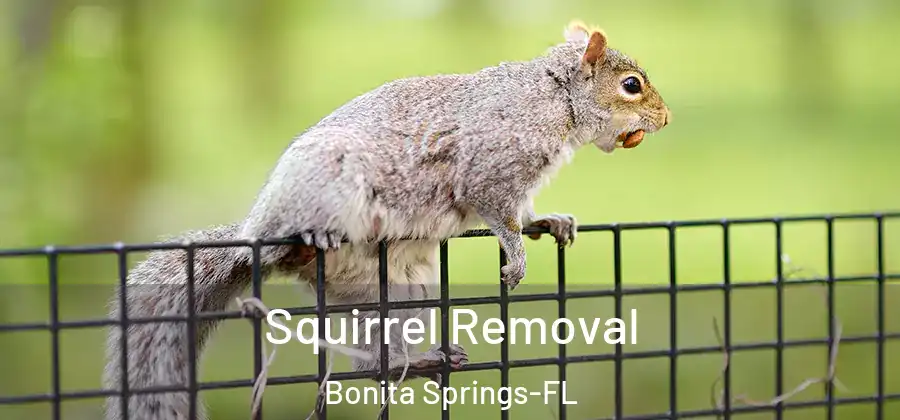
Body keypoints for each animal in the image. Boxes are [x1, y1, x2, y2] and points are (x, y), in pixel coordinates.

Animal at [102, 20, 670, 420]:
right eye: (631, 85)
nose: (665, 120)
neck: (554, 98)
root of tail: (252, 236)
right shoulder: (489, 168)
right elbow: (497, 214)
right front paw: (516, 256)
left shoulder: (519, 184)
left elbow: (524, 212)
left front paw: (549, 222)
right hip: (325, 187)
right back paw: (308, 239)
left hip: (398, 293)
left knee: (374, 364)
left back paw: (416, 361)